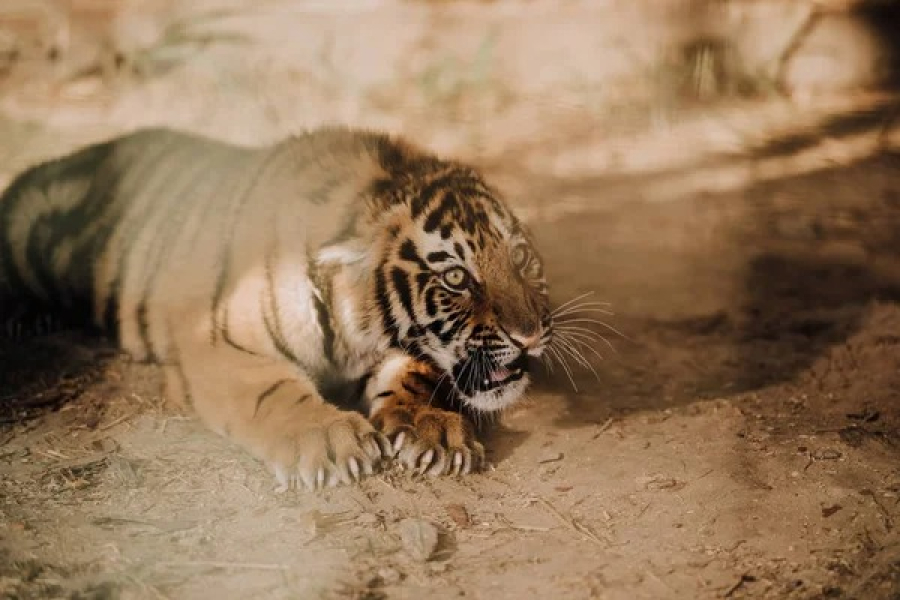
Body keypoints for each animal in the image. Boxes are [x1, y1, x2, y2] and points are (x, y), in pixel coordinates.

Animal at [0, 127, 553, 490]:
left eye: (521, 258)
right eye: (456, 277)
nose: (530, 336)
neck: (353, 324)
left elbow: (414, 374)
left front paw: (433, 429)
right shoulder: (217, 343)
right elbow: (273, 389)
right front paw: (328, 439)